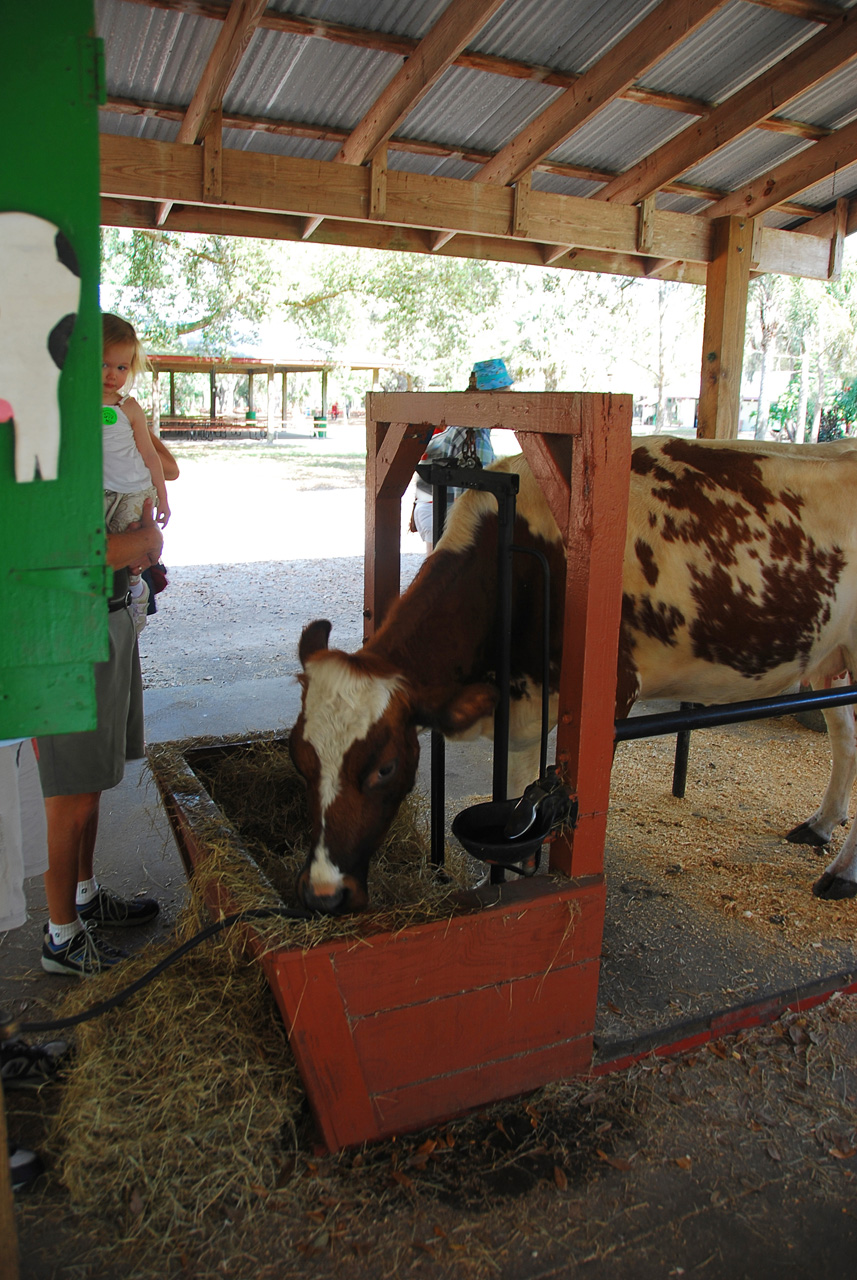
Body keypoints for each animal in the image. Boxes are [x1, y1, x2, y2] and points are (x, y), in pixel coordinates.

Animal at [291, 440, 857, 911]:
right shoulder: (520, 702)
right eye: (298, 758)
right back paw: (822, 825)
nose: (323, 894)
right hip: (831, 656)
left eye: (385, 768)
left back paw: (841, 874)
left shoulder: (610, 693)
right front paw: (499, 884)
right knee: (844, 735)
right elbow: (514, 794)